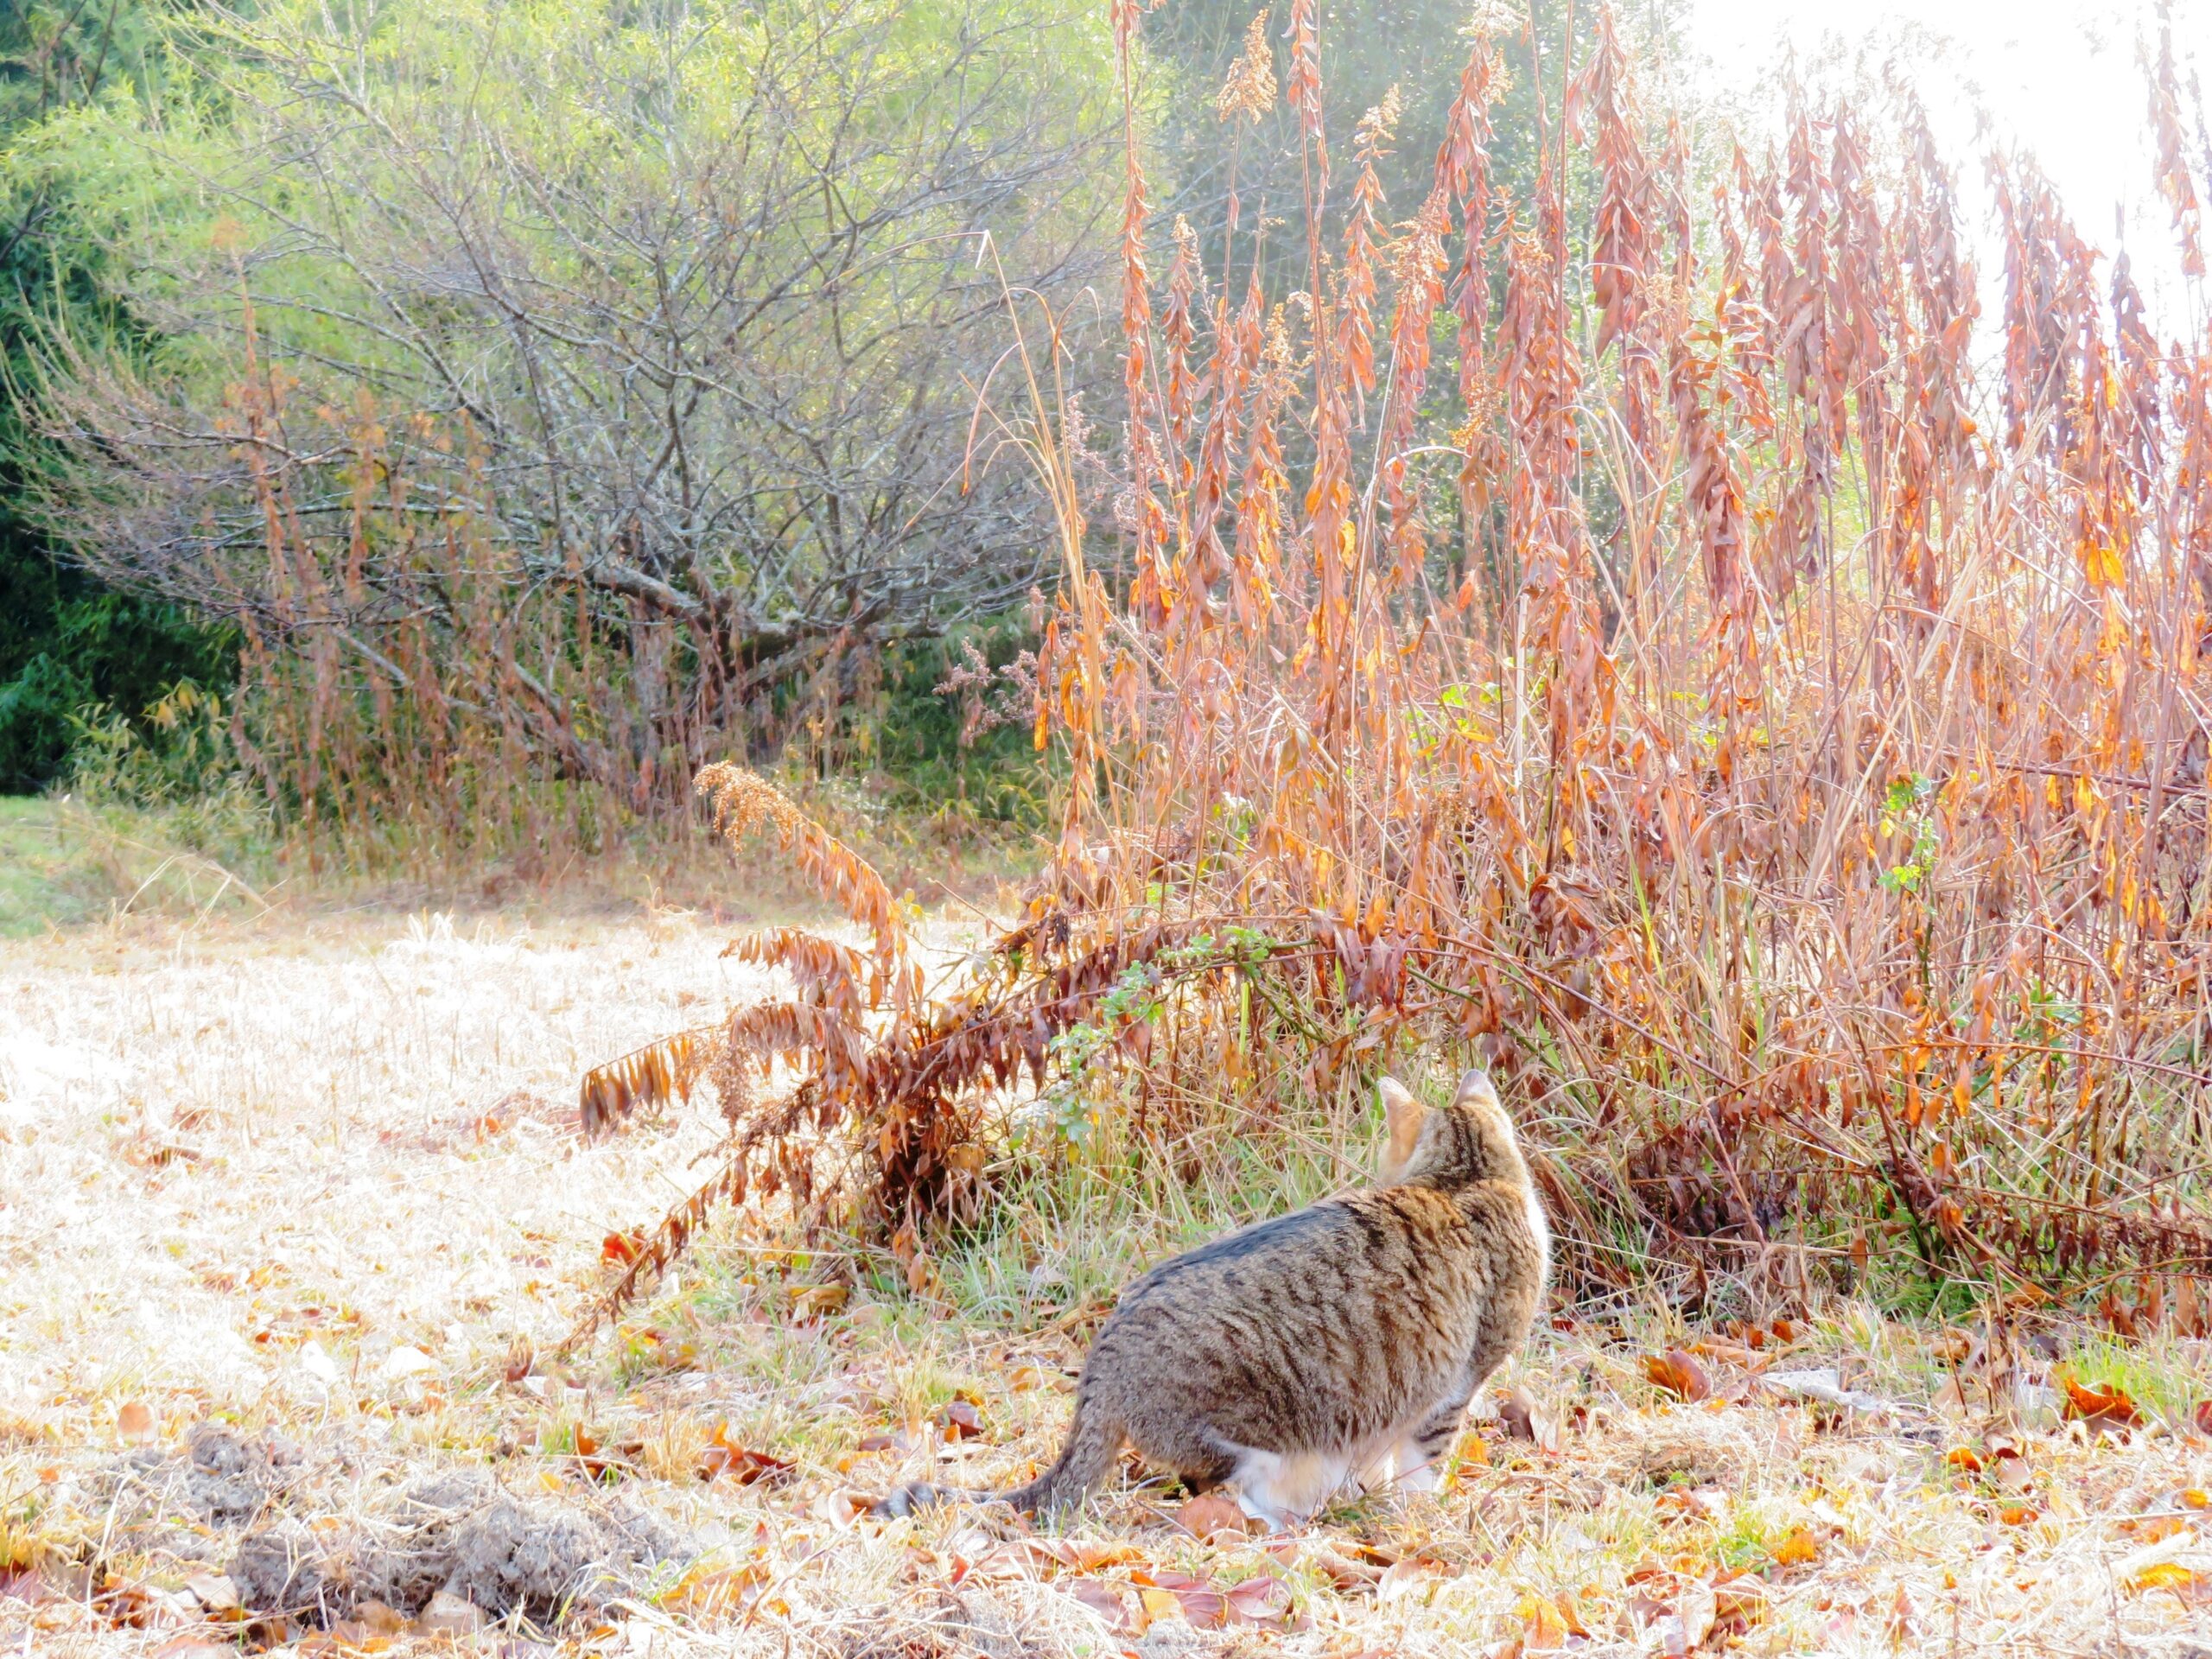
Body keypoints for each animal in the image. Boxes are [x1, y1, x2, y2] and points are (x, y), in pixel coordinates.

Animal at [885, 1071, 1557, 1530]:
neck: (1464, 1178)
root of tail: (1102, 1364)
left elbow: (1382, 1462)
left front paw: (1377, 1495)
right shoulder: (1459, 1382)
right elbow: (1423, 1466)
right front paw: (1417, 1510)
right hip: (1267, 1440)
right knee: (1217, 1489)